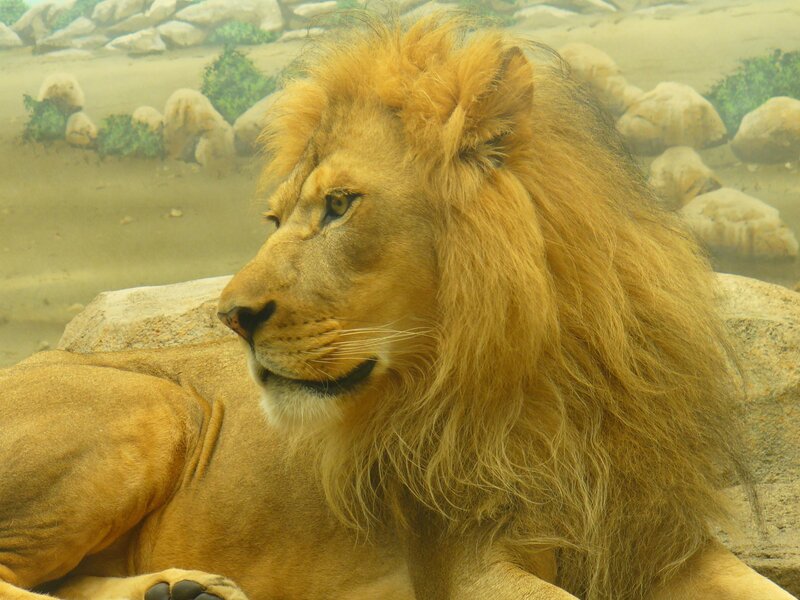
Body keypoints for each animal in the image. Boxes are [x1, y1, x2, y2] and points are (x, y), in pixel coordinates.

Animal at [0, 14, 796, 600]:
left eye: (339, 205)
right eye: (275, 219)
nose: (231, 316)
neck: (547, 381)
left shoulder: (660, 539)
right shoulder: (463, 560)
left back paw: (183, 590)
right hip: (154, 406)